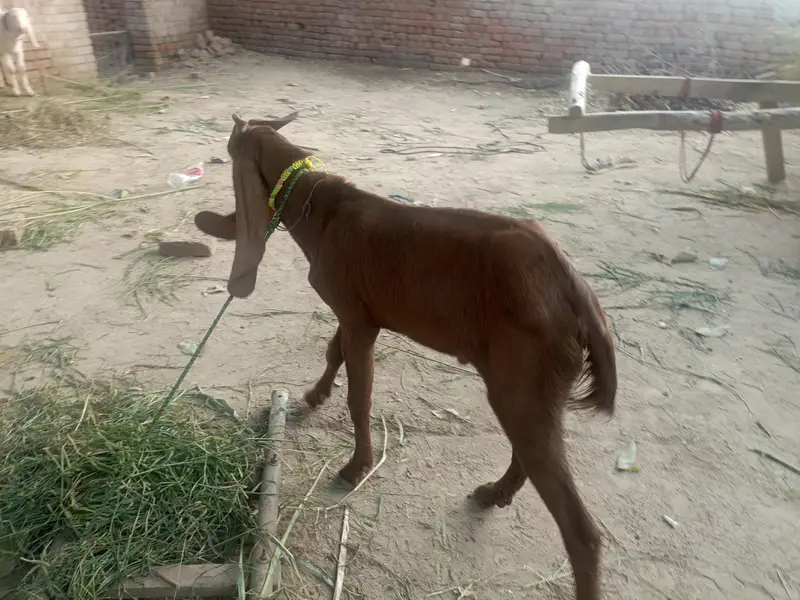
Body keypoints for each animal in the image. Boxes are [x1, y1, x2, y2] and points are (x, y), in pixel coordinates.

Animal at [194, 112, 618, 600]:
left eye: (232, 147)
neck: (323, 208)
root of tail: (577, 295)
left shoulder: (358, 320)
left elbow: (359, 396)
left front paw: (355, 466)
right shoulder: (357, 311)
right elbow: (334, 351)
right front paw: (314, 397)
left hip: (525, 377)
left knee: (580, 530)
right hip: (531, 388)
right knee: (530, 451)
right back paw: (494, 493)